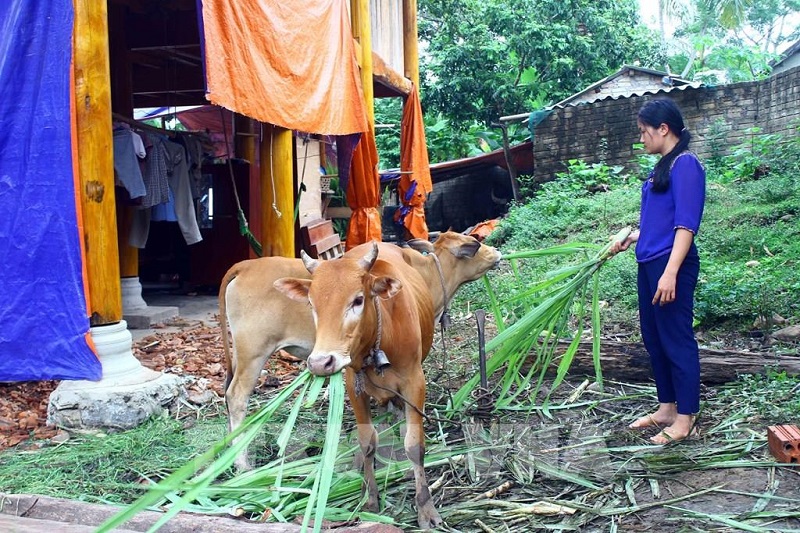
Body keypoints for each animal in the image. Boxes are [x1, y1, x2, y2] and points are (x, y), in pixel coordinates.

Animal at [219, 231, 500, 472]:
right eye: (473, 244)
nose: (496, 252)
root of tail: (244, 266)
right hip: (253, 353)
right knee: (236, 396)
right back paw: (242, 463)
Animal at [272, 238, 496, 528]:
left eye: (358, 299)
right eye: (312, 304)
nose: (321, 362)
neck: (382, 335)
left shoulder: (415, 382)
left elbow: (414, 445)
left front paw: (426, 509)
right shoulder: (353, 386)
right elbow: (367, 442)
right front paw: (370, 498)